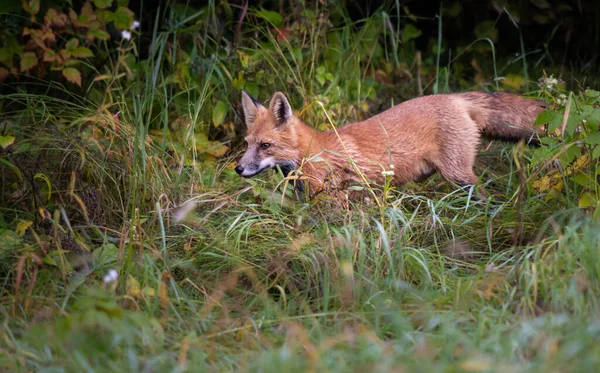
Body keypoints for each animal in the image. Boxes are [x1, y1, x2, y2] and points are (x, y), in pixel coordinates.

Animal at [234, 90, 544, 198]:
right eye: (247, 144)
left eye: (266, 146)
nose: (238, 169)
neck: (315, 153)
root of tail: (455, 96)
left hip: (459, 176)